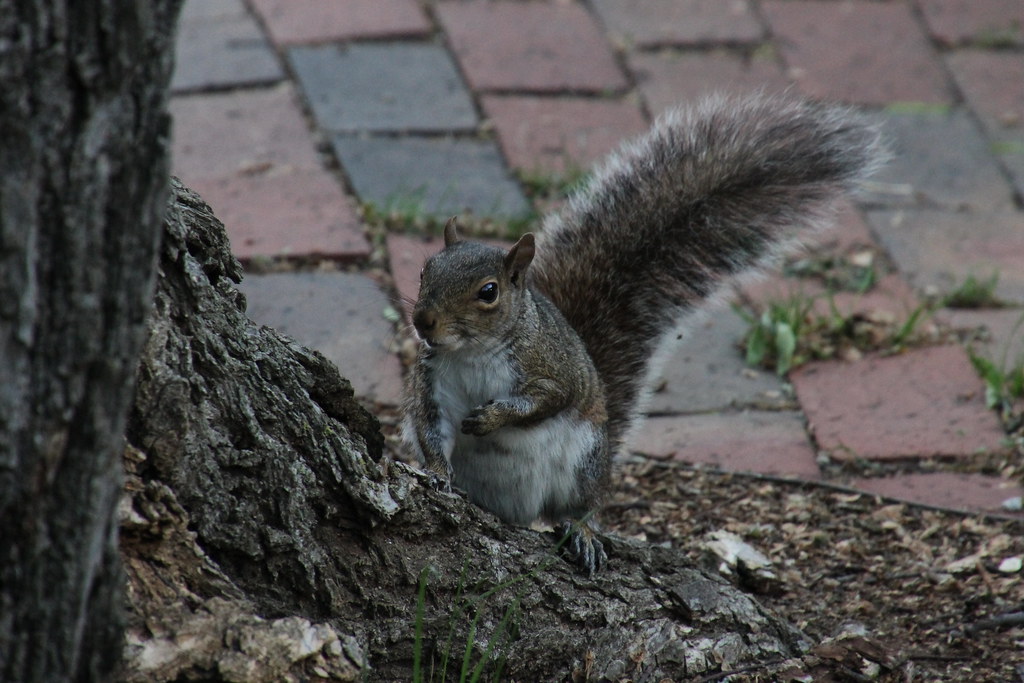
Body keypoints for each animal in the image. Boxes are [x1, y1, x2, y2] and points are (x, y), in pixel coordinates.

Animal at [403, 93, 886, 575]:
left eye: (488, 292)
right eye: (424, 271)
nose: (423, 321)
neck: (472, 352)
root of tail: (518, 510)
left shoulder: (550, 365)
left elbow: (547, 398)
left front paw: (493, 417)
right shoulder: (433, 382)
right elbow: (430, 428)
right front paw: (437, 474)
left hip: (585, 461)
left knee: (578, 508)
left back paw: (582, 531)